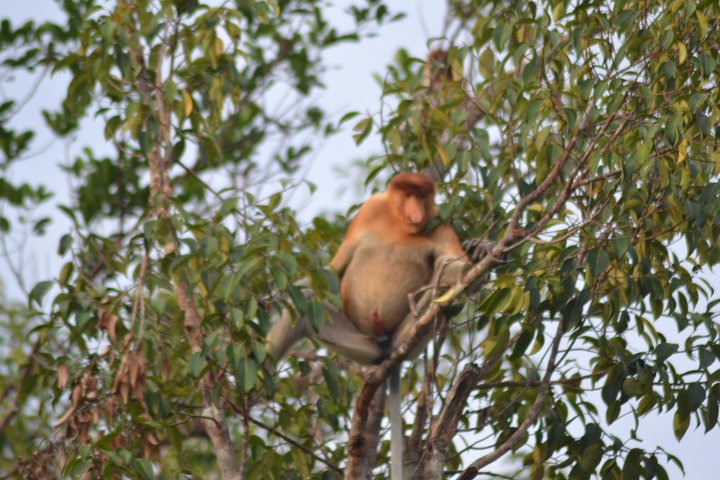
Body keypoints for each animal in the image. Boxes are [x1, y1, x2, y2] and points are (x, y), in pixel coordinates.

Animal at [266, 172, 469, 480]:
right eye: (408, 195)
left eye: (422, 196)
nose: (416, 213)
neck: (399, 225)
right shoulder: (369, 211)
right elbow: (334, 269)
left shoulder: (440, 223)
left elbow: (455, 265)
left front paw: (483, 250)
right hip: (359, 340)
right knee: (306, 303)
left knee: (441, 280)